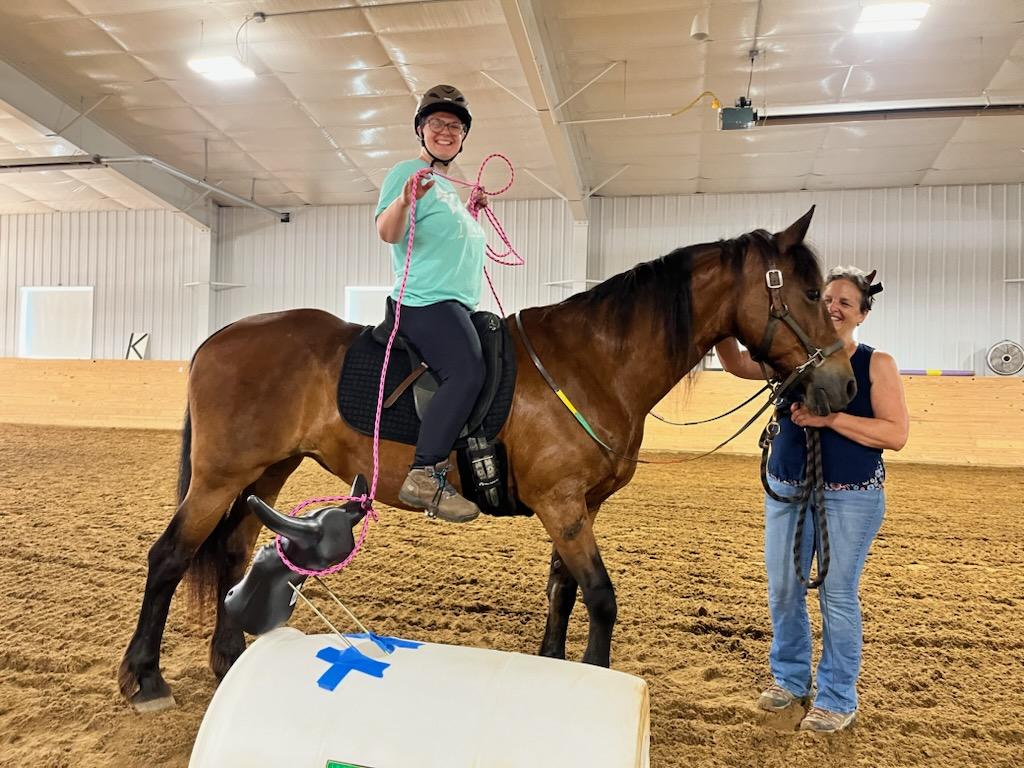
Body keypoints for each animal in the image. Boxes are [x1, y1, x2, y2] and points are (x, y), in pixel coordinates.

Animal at [119, 207, 856, 712]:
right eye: (809, 294)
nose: (843, 385)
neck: (596, 360)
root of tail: (218, 336)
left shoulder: (578, 507)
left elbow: (564, 591)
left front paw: (554, 666)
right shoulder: (562, 503)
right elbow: (601, 597)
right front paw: (593, 674)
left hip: (262, 472)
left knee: (232, 551)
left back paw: (229, 660)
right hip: (219, 477)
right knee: (170, 556)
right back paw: (146, 678)